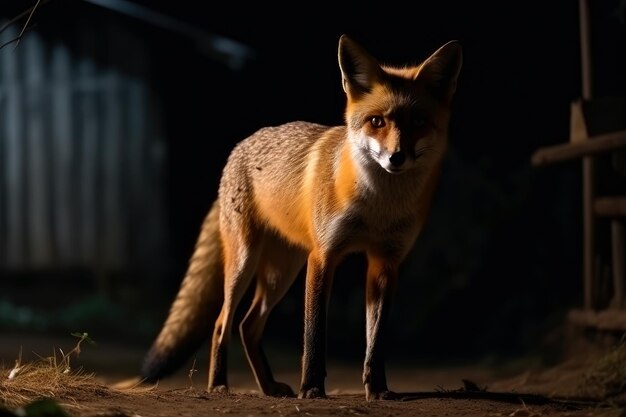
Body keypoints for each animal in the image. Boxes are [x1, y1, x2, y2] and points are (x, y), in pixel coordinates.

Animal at [143, 33, 464, 400]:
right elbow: (314, 334)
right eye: (377, 122)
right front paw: (311, 388)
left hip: (280, 274)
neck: (377, 207)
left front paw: (378, 389)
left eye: (419, 122)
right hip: (245, 264)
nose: (396, 158)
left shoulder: (385, 263)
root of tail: (241, 145)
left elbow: (376, 340)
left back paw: (268, 386)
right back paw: (219, 384)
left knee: (247, 326)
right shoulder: (324, 255)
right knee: (223, 322)